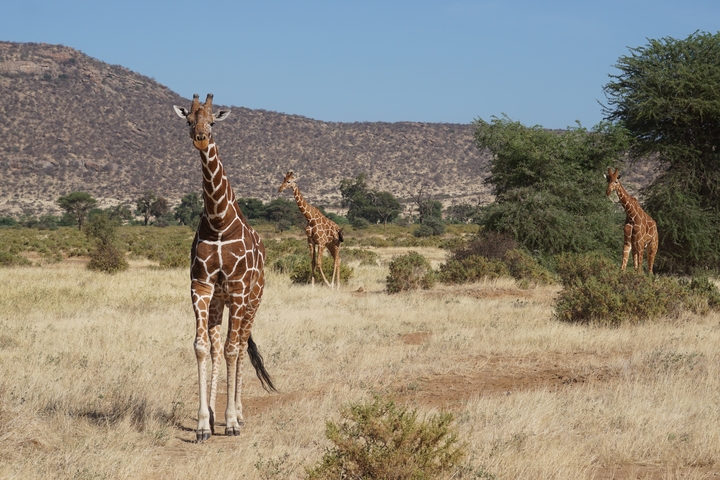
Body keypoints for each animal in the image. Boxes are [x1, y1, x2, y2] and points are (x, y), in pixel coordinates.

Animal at [174, 94, 276, 442]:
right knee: (220, 346)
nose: (201, 137)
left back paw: (239, 414)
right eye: (189, 120)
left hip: (252, 300)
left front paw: (231, 421)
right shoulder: (202, 286)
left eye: (213, 122)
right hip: (222, 301)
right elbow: (203, 347)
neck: (219, 222)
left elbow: (233, 350)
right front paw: (204, 423)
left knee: (241, 346)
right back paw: (216, 414)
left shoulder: (238, 288)